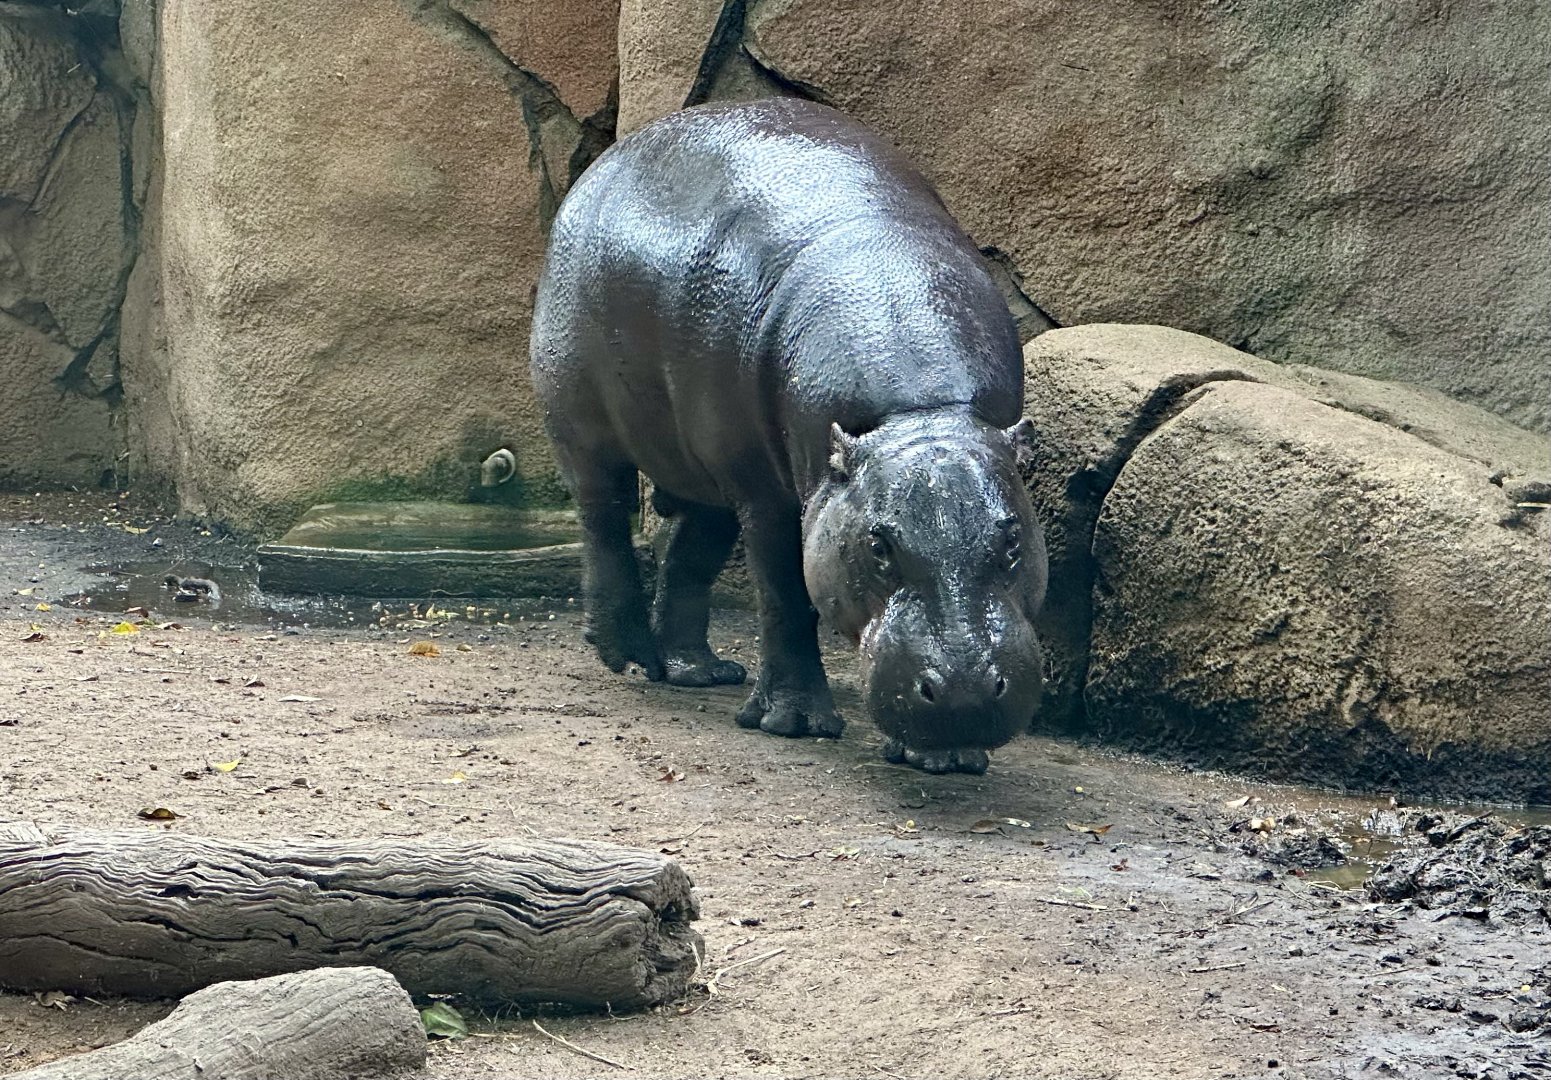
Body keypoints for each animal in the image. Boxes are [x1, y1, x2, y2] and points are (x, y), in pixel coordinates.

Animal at [529, 98, 1048, 774]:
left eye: (1013, 541)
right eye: (879, 545)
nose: (964, 694)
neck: (920, 411)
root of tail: (609, 160)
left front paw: (946, 759)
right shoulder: (768, 495)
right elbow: (783, 594)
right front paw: (794, 724)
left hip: (704, 462)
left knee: (690, 549)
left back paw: (697, 672)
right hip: (584, 418)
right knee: (604, 518)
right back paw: (628, 654)